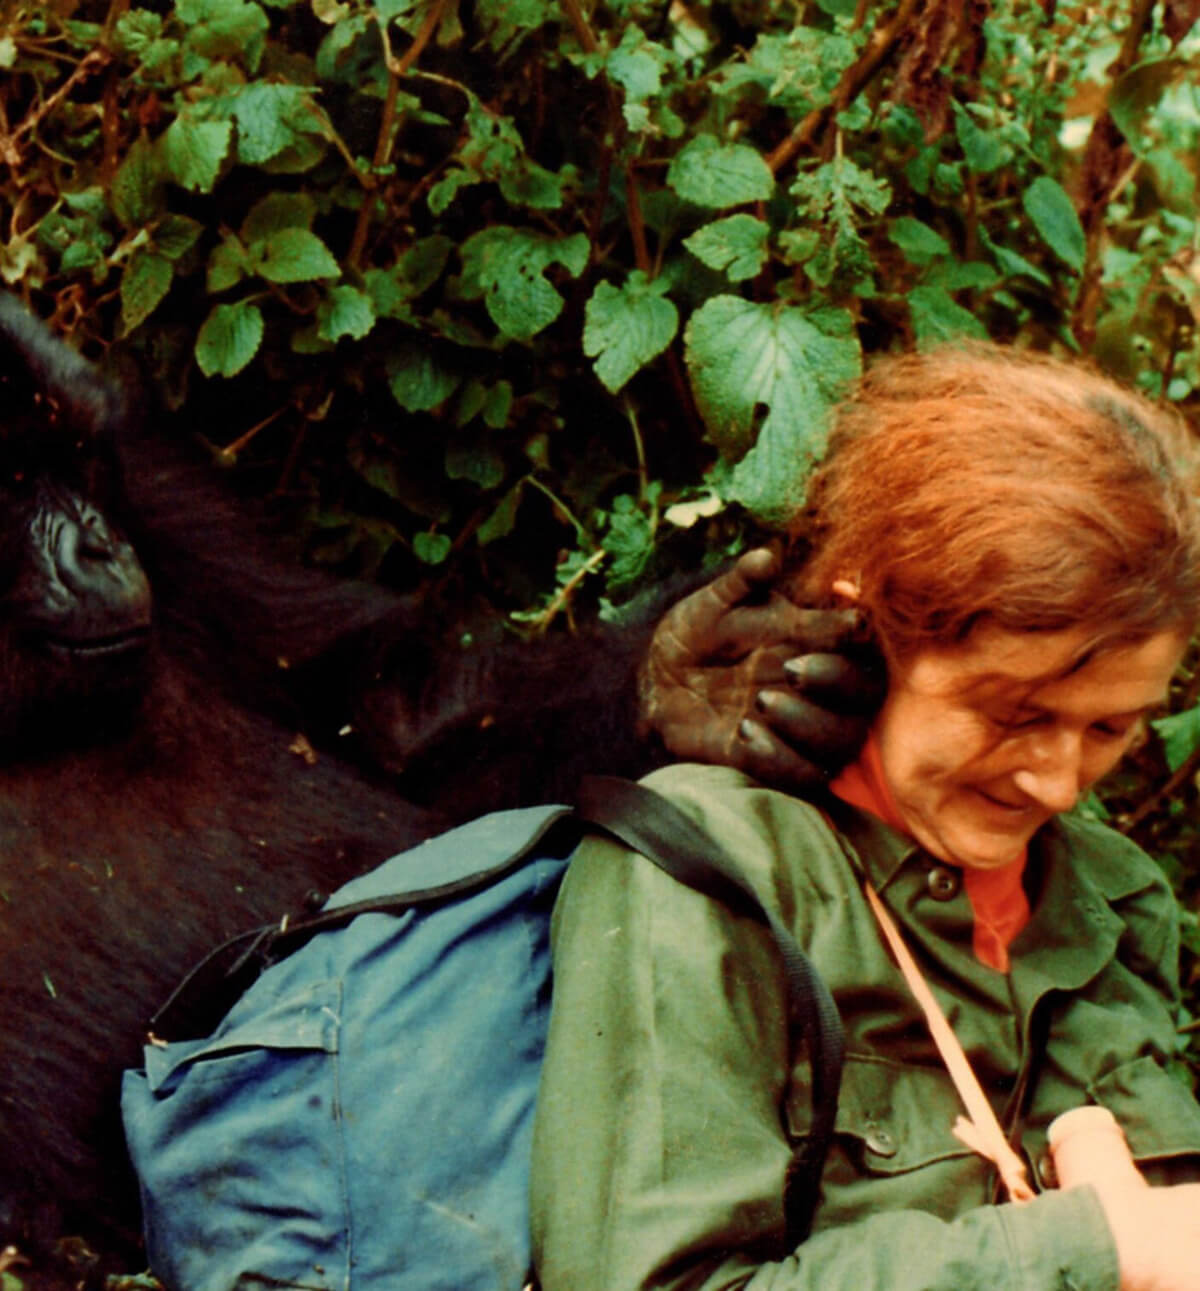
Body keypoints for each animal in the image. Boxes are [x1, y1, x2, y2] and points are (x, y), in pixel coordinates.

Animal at [0, 296, 872, 1285]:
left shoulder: (154, 489)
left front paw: (689, 675)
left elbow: (402, 725)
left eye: (81, 463)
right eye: (19, 477)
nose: (100, 546)